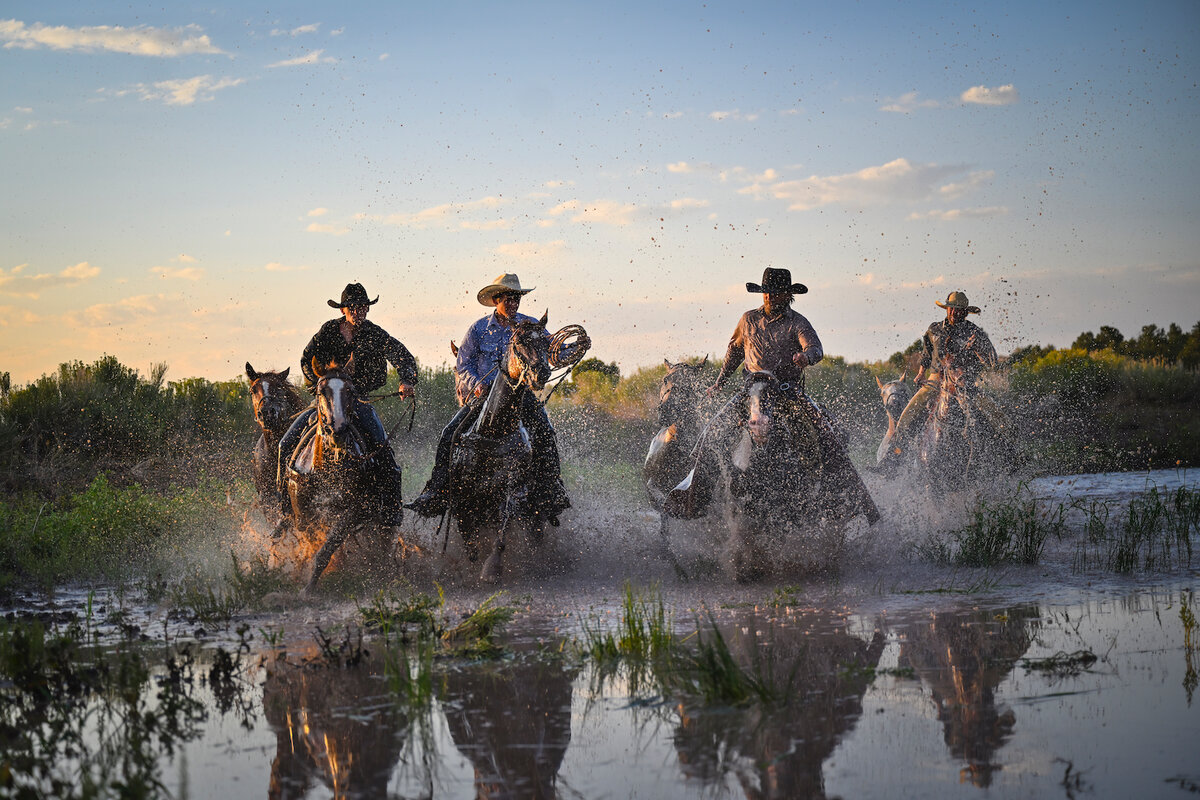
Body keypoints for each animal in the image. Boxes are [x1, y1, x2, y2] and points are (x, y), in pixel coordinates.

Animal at [280, 357, 388, 594]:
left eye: (351, 391)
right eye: (321, 391)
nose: (337, 429)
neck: (327, 468)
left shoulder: (352, 511)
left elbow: (327, 548)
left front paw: (309, 587)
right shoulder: (304, 515)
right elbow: (314, 545)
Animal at [446, 311, 552, 582]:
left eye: (546, 343)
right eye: (518, 343)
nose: (541, 373)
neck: (494, 430)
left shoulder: (511, 488)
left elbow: (503, 529)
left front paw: (491, 568)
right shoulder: (463, 498)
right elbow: (469, 543)